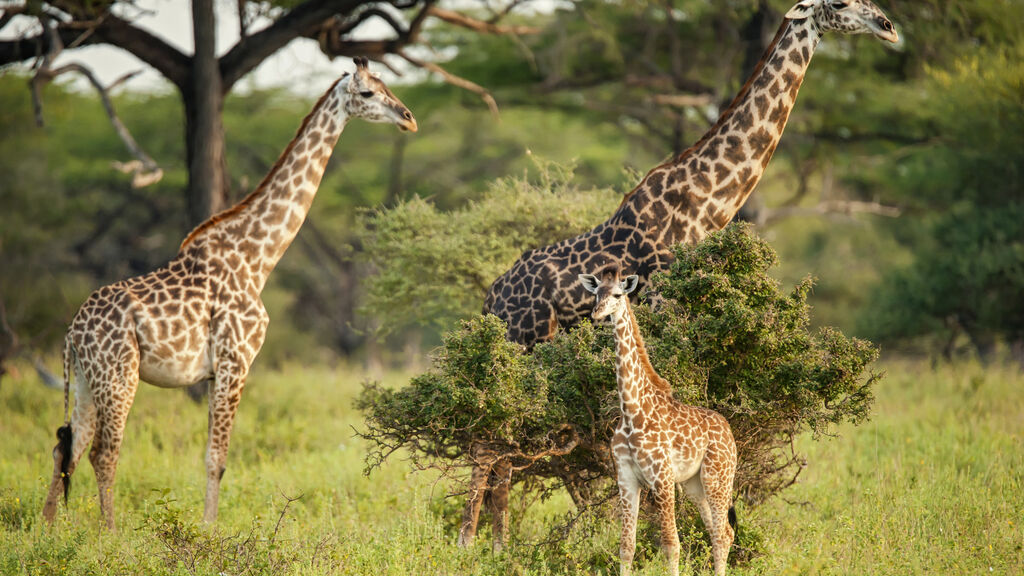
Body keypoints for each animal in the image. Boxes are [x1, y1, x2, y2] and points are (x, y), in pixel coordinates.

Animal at [39, 58, 415, 528]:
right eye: (367, 94)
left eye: (387, 85)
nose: (408, 118)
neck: (258, 258)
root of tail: (72, 332)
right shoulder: (235, 362)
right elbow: (216, 459)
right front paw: (208, 530)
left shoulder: (218, 370)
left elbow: (212, 456)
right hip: (118, 374)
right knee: (102, 453)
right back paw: (109, 534)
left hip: (88, 381)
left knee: (65, 447)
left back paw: (49, 530)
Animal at [577, 270, 737, 573]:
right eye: (596, 293)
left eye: (618, 294)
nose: (597, 312)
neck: (632, 411)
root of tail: (730, 434)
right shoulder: (626, 478)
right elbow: (626, 546)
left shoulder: (662, 476)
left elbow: (671, 543)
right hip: (695, 484)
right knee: (718, 531)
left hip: (718, 477)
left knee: (724, 534)